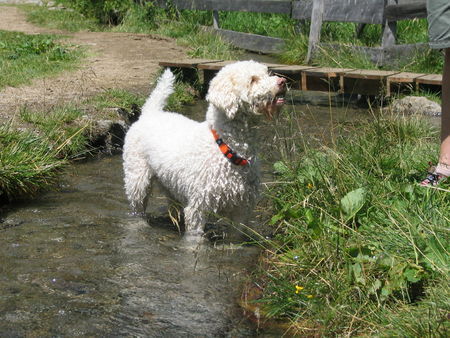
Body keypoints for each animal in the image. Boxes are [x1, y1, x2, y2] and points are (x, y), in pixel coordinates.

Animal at [123, 60, 284, 235]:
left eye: (267, 73)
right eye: (252, 79)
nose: (282, 82)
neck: (227, 148)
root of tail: (149, 114)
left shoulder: (242, 209)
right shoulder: (198, 206)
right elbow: (194, 237)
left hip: (170, 183)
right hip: (137, 178)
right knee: (137, 206)